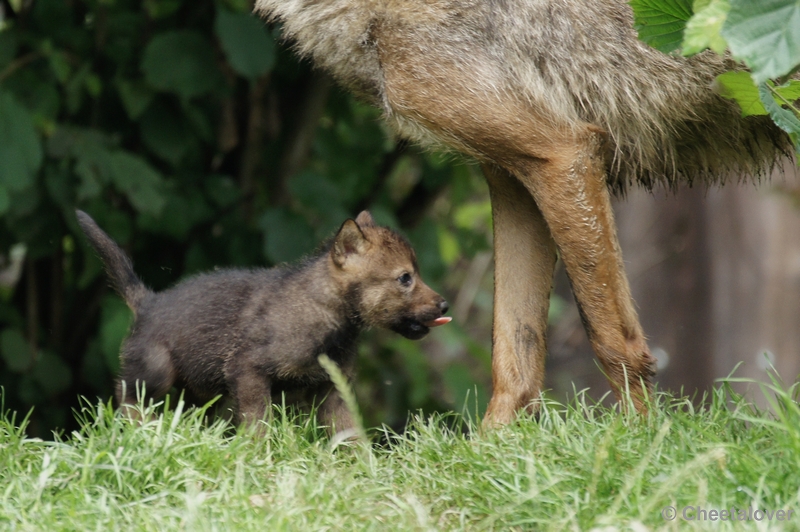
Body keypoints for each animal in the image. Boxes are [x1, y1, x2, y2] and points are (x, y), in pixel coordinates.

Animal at [255, 0, 788, 424]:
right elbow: (515, 359)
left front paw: (639, 451)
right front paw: (489, 461)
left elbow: (615, 345)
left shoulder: (562, 153)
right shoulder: (511, 175)